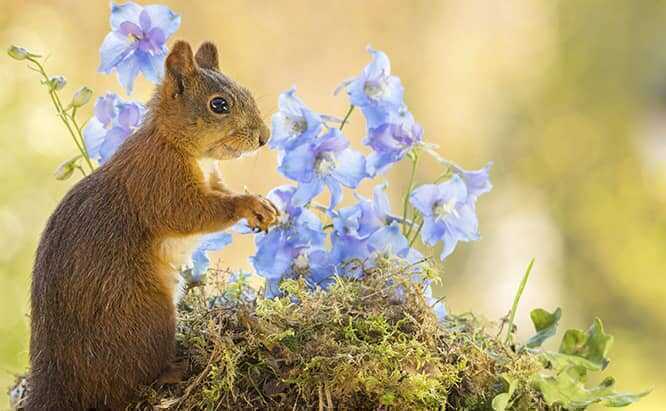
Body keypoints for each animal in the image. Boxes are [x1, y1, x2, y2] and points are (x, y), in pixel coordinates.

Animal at [26, 39, 278, 411]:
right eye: (219, 105)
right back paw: (174, 370)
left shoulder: (211, 179)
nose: (264, 137)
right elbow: (189, 213)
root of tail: (58, 382)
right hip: (146, 315)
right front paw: (247, 205)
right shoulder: (158, 182)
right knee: (130, 382)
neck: (175, 143)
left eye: (246, 92)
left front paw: (263, 206)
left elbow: (219, 192)